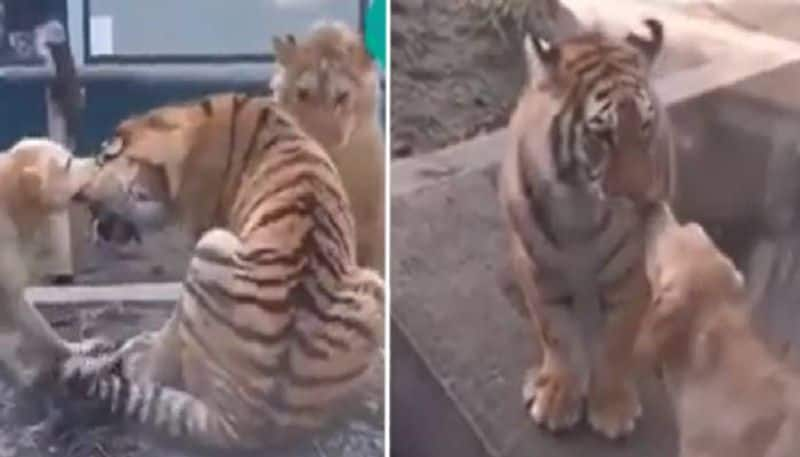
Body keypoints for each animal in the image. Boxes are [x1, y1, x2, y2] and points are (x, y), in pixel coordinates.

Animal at [51, 92, 386, 452]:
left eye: (104, 160)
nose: (78, 194)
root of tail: (245, 426)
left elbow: (168, 335)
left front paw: (138, 351)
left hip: (213, 245)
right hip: (374, 287)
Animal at [500, 18, 676, 438]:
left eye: (645, 126)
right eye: (602, 134)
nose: (645, 197)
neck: (578, 205)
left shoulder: (632, 272)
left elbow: (616, 339)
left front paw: (611, 406)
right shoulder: (537, 267)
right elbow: (556, 333)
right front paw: (558, 395)